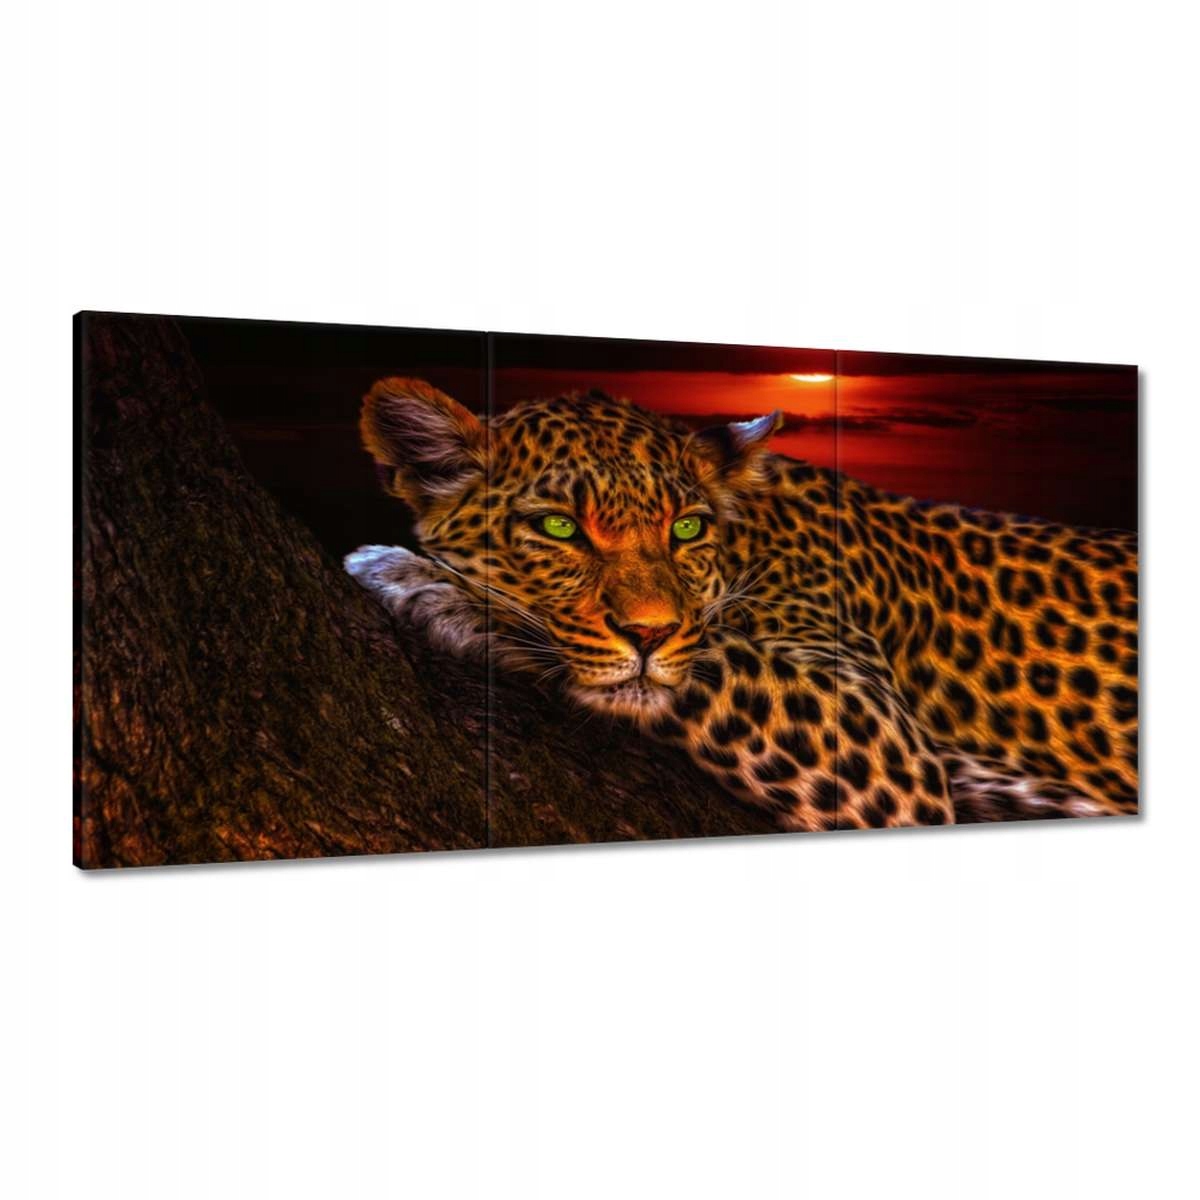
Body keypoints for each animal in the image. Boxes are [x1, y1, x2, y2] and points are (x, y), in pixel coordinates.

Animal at [345, 377, 1139, 831]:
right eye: (560, 528)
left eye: (686, 528)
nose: (648, 634)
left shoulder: (883, 742)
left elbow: (707, 658)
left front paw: (424, 583)